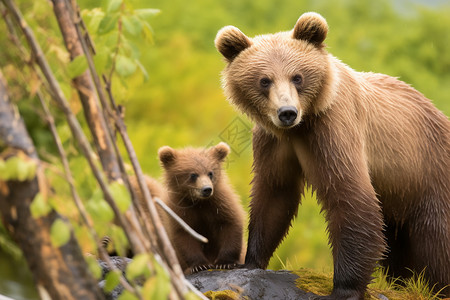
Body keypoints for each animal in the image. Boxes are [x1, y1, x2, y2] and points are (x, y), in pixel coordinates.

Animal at [214, 11, 450, 298]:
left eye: (297, 77)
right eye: (264, 80)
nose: (287, 112)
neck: (302, 126)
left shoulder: (334, 130)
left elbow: (349, 196)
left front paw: (344, 288)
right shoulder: (274, 143)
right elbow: (274, 193)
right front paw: (249, 261)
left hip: (428, 176)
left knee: (435, 244)